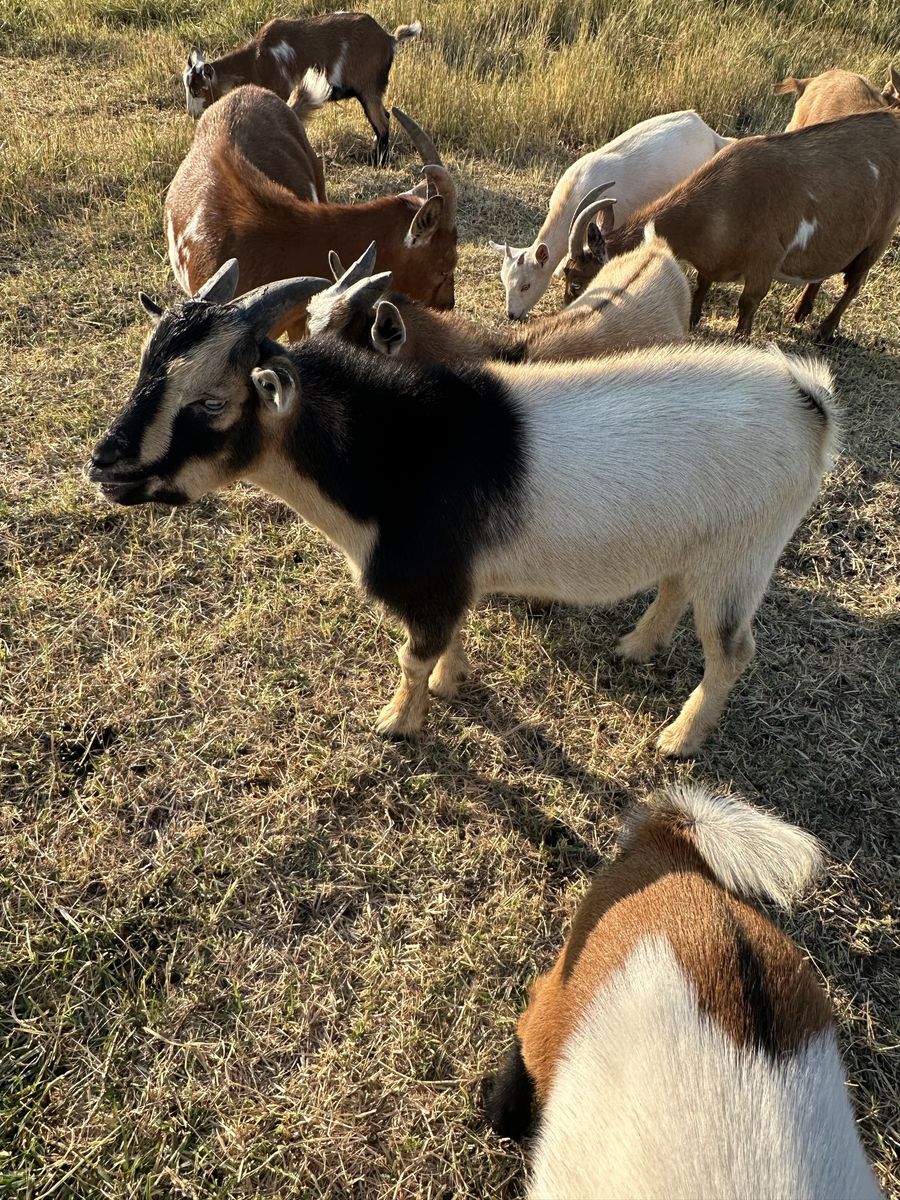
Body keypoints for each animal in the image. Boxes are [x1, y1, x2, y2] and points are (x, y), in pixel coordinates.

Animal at [88, 265, 835, 757]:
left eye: (212, 401)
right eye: (143, 372)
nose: (104, 466)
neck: (396, 456)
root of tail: (810, 402)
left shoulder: (430, 582)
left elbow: (412, 655)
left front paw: (397, 723)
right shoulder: (455, 583)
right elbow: (445, 643)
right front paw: (452, 684)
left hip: (743, 552)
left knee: (732, 649)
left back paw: (677, 739)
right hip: (701, 539)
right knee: (676, 584)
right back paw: (635, 647)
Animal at [183, 12, 422, 163]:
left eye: (196, 90)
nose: (192, 113)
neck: (255, 60)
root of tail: (389, 39)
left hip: (368, 87)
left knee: (381, 122)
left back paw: (378, 161)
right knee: (384, 117)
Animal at [562, 110, 900, 339]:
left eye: (578, 282)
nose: (571, 316)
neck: (723, 203)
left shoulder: (765, 261)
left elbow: (747, 303)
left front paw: (740, 339)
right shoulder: (711, 261)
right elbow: (702, 282)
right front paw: (694, 318)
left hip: (879, 238)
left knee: (854, 285)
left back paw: (826, 331)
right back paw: (800, 312)